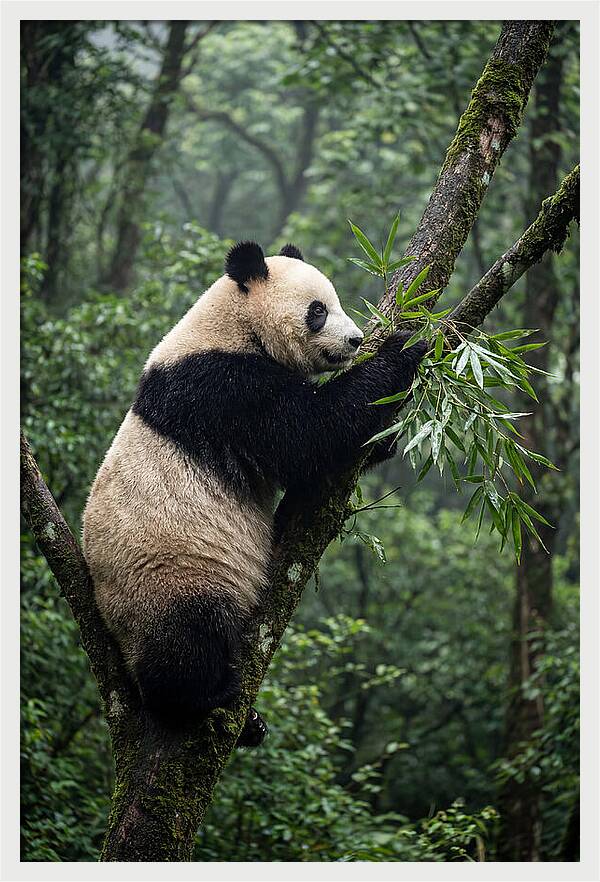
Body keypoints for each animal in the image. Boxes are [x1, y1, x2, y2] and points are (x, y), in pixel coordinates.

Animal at [82, 241, 426, 747]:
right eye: (318, 311)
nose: (355, 340)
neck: (232, 325)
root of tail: (112, 627)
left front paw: (386, 436)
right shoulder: (221, 388)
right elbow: (309, 433)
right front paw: (404, 347)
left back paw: (251, 724)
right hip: (169, 573)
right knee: (186, 640)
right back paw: (206, 696)